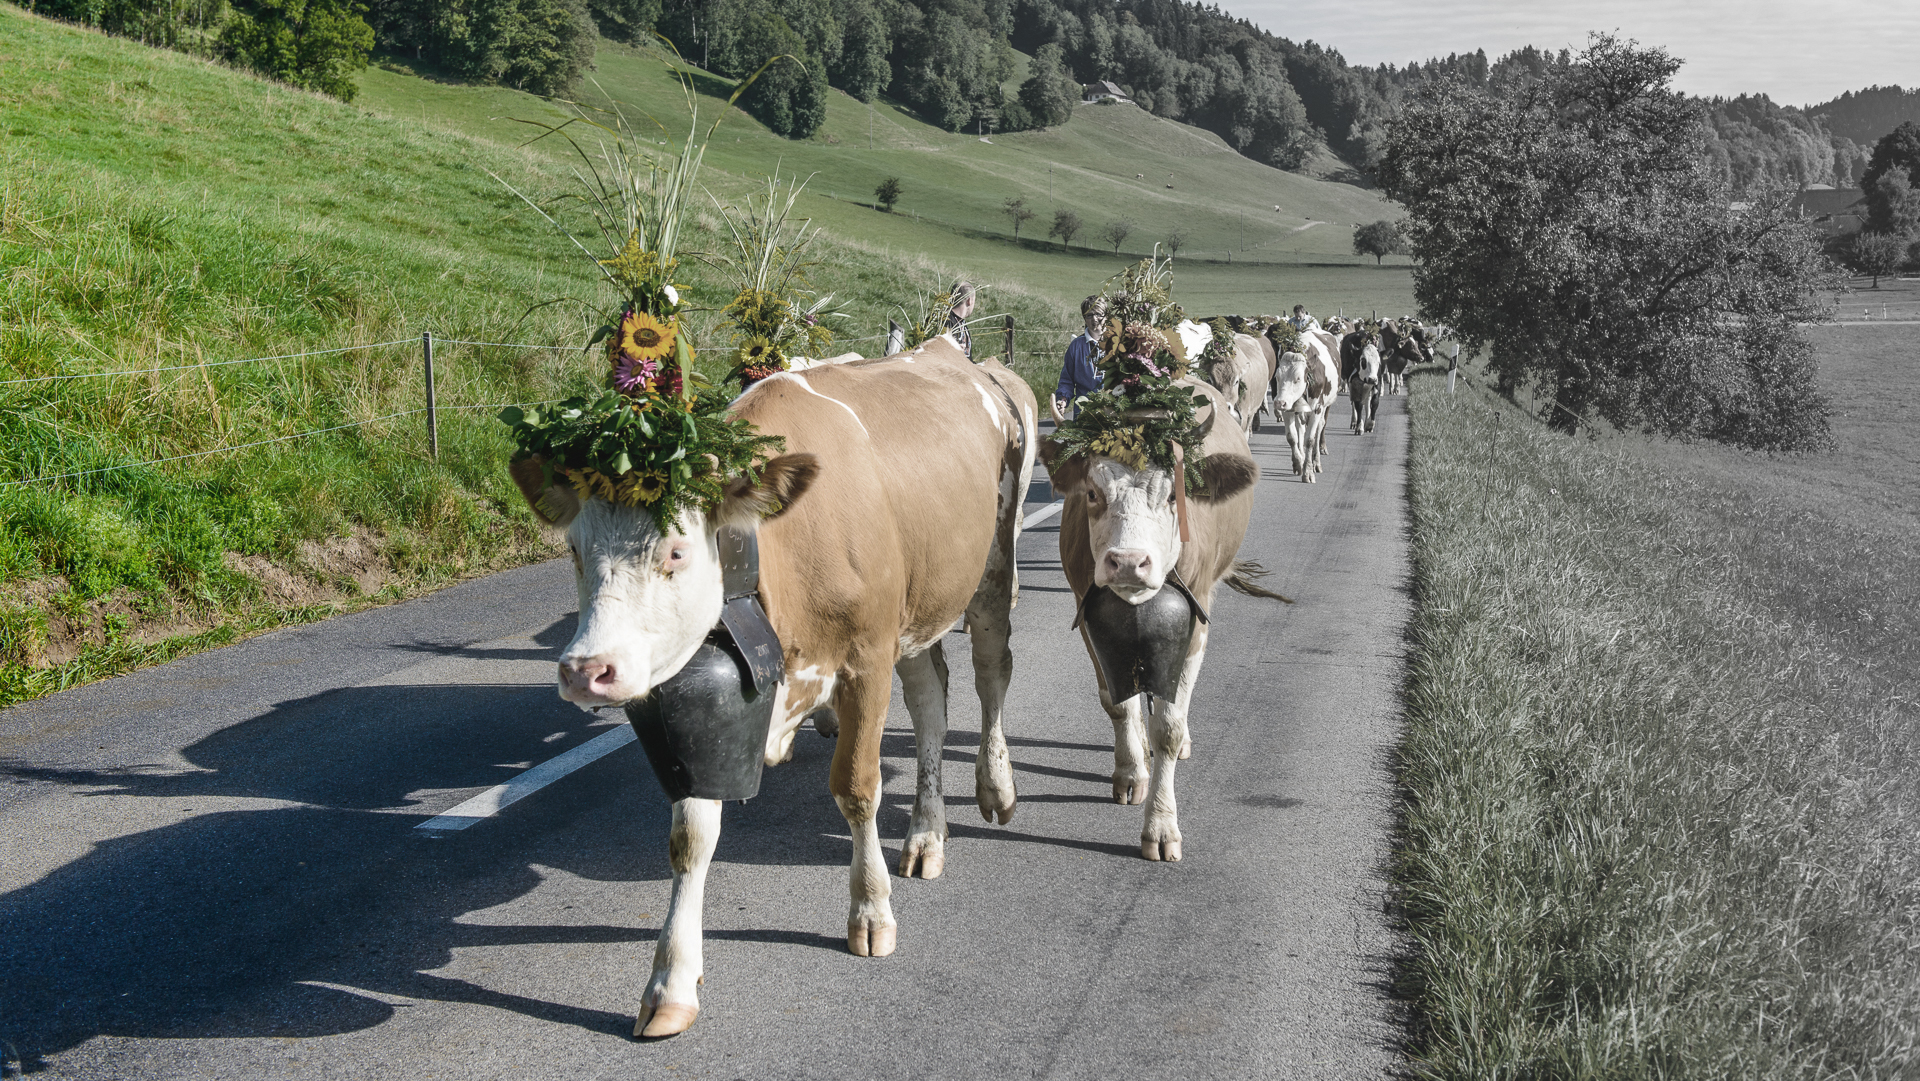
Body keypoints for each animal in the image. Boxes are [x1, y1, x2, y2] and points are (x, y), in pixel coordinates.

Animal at [510, 337, 1036, 1036]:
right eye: (573, 550)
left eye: (676, 551)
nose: (584, 669)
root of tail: (953, 350)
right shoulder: (703, 714)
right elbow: (690, 837)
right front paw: (671, 981)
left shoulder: (866, 660)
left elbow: (858, 789)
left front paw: (871, 911)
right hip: (918, 606)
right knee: (930, 699)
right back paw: (927, 833)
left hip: (991, 570)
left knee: (990, 672)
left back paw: (996, 787)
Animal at [1036, 380, 1274, 864]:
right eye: (1093, 493)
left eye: (1170, 495)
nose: (1128, 562)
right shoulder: (1088, 619)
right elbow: (1118, 704)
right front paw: (1131, 773)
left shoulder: (1196, 620)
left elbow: (1169, 726)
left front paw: (1162, 826)